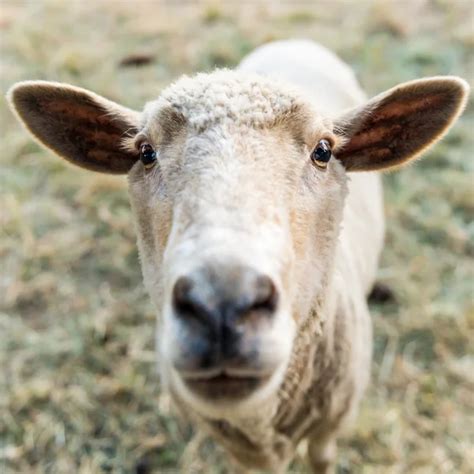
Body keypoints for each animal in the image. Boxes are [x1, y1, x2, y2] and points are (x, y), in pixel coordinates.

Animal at [6, 39, 466, 472]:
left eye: (323, 150)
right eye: (145, 152)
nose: (220, 304)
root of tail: (294, 41)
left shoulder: (331, 423)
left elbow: (321, 458)